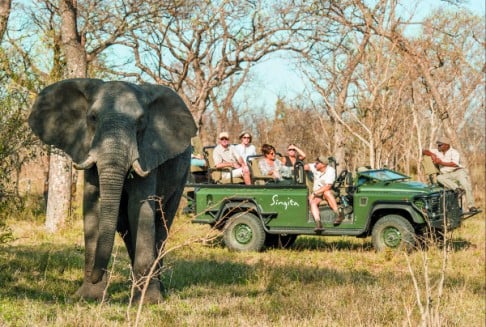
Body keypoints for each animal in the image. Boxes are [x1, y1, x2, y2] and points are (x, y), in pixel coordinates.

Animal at [27, 78, 196, 304]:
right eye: (92, 117)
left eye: (141, 121)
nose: (95, 277)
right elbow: (94, 206)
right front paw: (88, 297)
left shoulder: (148, 154)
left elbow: (139, 208)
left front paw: (148, 301)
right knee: (127, 228)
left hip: (182, 175)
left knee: (162, 223)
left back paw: (156, 289)